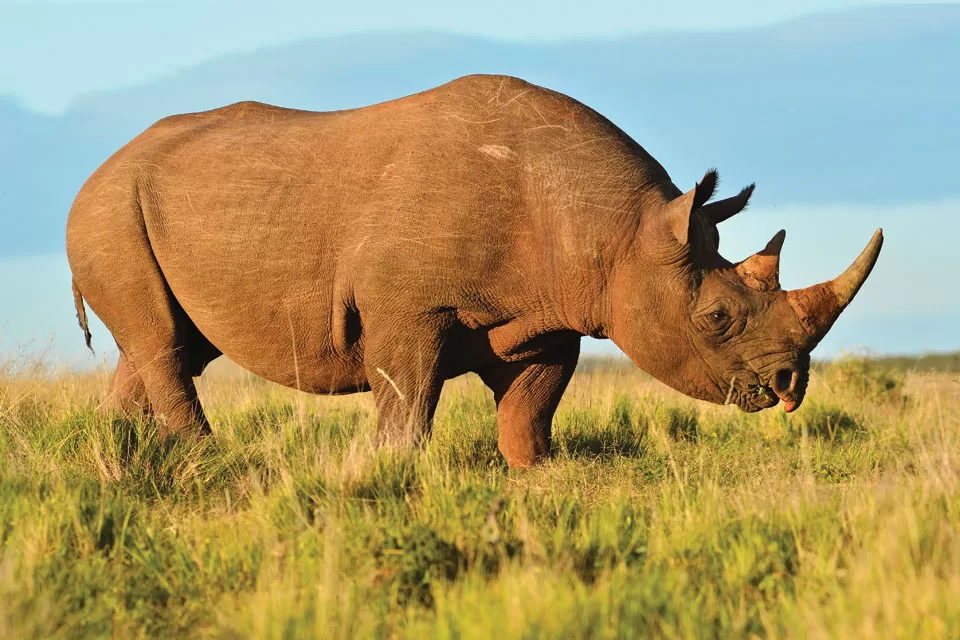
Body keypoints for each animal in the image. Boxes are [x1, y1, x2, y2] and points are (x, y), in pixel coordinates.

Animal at [66, 74, 882, 467]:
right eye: (715, 318)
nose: (790, 385)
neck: (618, 234)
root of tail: (95, 170)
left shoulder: (551, 313)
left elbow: (532, 406)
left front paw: (540, 472)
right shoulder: (408, 307)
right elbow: (408, 398)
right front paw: (393, 471)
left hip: (132, 209)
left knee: (167, 345)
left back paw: (116, 458)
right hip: (108, 211)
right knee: (164, 344)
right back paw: (207, 459)